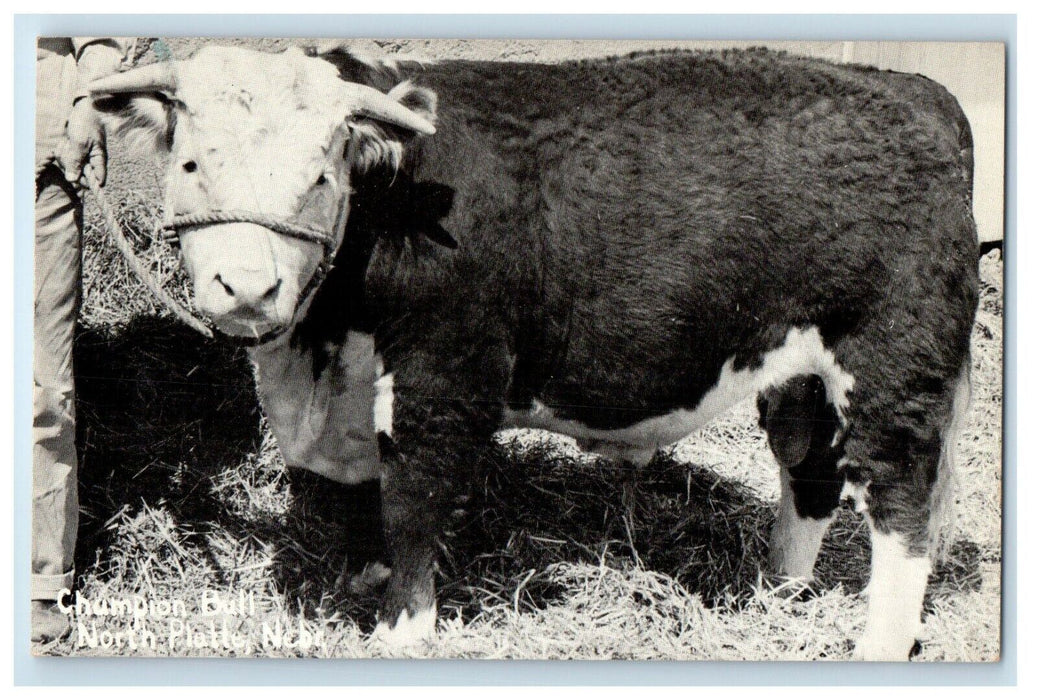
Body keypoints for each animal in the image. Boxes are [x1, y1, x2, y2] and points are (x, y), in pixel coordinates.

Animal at [89, 43, 980, 660]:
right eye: (191, 162)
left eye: (320, 176)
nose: (246, 289)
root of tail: (917, 92)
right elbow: (367, 494)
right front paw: (367, 578)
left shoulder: (445, 375)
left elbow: (413, 496)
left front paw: (404, 627)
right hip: (801, 376)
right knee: (811, 476)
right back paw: (776, 594)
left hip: (895, 369)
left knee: (901, 504)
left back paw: (877, 642)